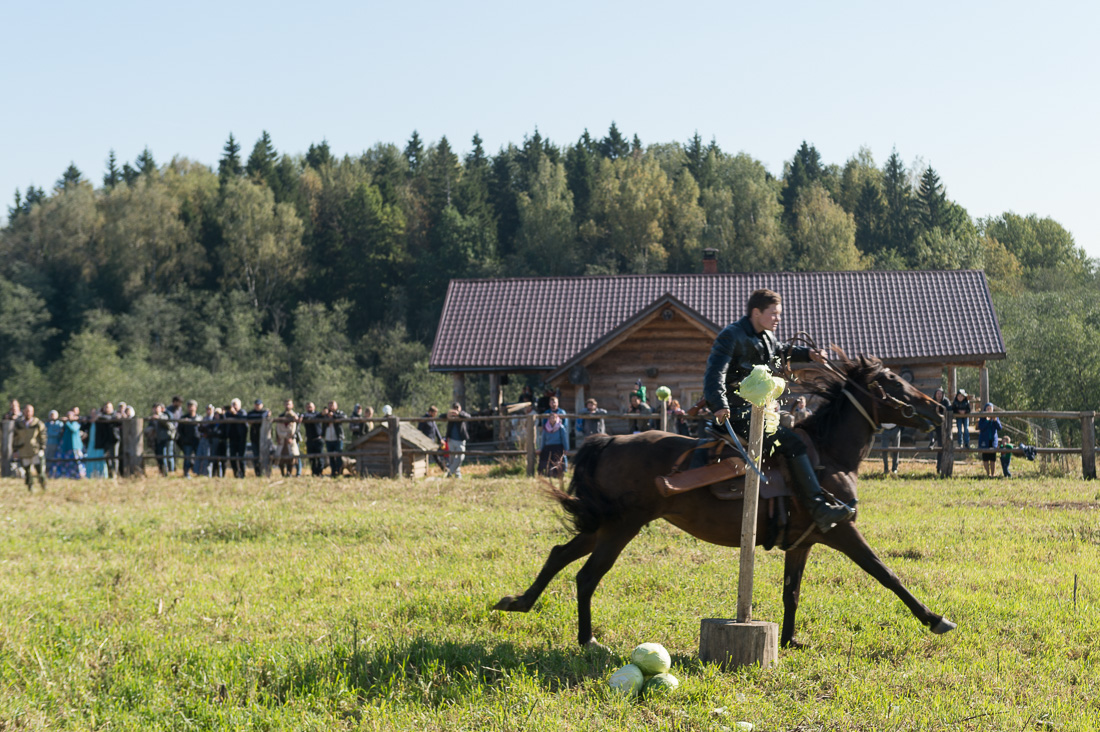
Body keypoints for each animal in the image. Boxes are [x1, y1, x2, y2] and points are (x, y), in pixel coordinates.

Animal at [495, 352, 959, 647]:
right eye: (892, 383)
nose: (939, 410)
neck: (828, 456)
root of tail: (610, 439)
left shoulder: (804, 542)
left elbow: (792, 592)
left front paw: (790, 639)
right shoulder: (840, 529)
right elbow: (886, 573)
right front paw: (935, 618)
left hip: (605, 523)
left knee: (559, 554)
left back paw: (518, 602)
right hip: (621, 527)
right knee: (587, 576)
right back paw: (588, 639)